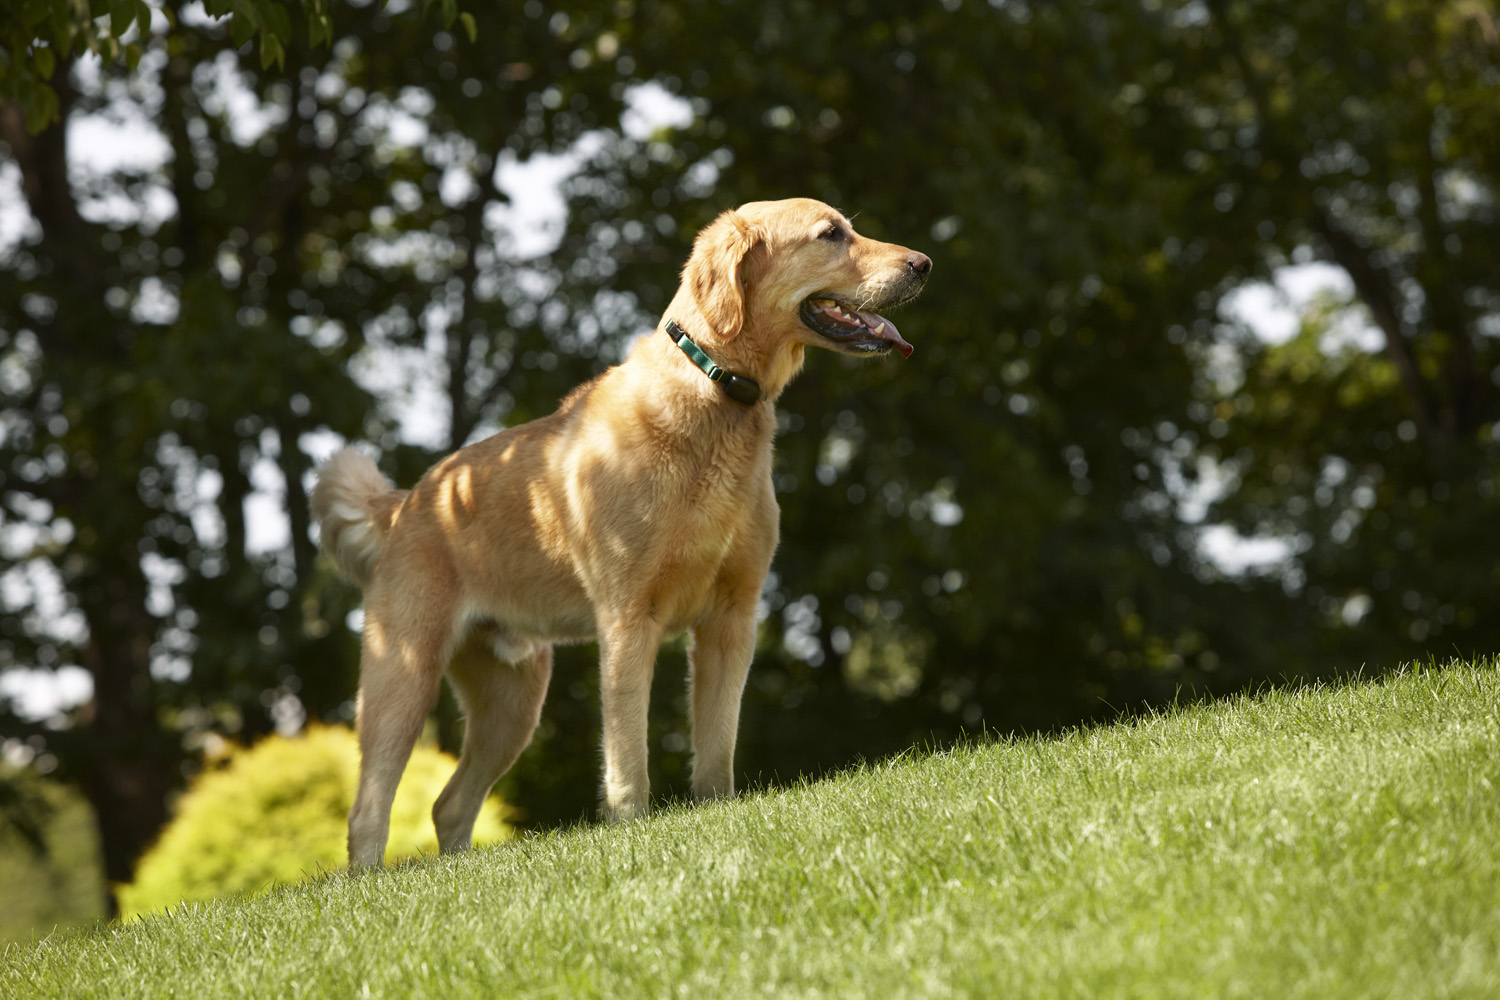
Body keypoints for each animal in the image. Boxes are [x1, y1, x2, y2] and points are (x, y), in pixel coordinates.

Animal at [312, 197, 930, 869]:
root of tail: (407, 501)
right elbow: (628, 757)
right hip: (402, 676)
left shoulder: (732, 619)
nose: (924, 263)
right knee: (368, 812)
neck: (715, 392)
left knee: (450, 804)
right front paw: (632, 832)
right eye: (830, 235)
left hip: (512, 700)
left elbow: (716, 747)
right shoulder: (629, 620)